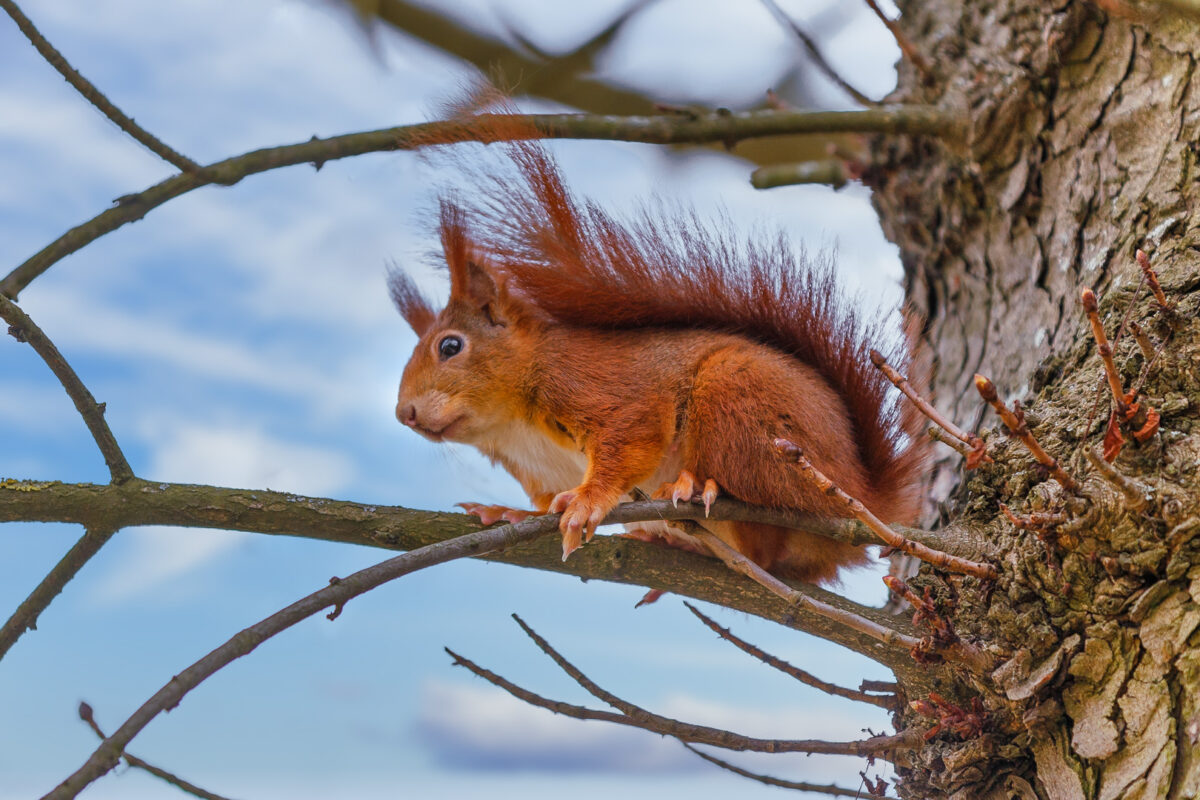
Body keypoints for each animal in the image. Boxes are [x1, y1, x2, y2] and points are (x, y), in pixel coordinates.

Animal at [393, 131, 926, 582]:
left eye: (450, 346)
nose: (404, 413)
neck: (512, 425)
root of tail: (860, 492)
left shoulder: (593, 385)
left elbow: (633, 435)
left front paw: (588, 501)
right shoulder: (538, 472)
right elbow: (541, 505)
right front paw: (508, 514)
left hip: (741, 404)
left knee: (761, 546)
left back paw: (695, 489)